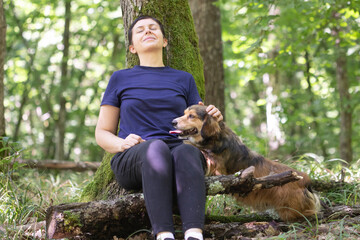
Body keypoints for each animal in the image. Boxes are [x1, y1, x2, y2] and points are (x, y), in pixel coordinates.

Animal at [172, 104, 320, 222]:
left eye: (191, 116)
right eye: (184, 114)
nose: (173, 122)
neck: (216, 137)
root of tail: (306, 180)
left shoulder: (216, 166)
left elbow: (196, 148)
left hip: (291, 209)